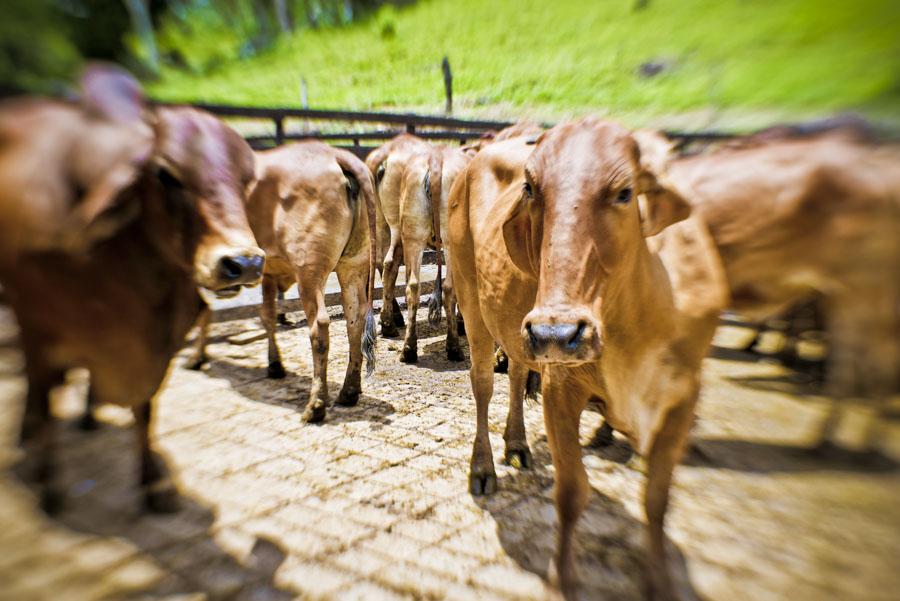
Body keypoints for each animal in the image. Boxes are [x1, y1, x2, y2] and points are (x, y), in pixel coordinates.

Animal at [1, 68, 264, 512]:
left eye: (247, 178)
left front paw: (152, 483)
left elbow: (146, 407)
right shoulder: (34, 323)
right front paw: (49, 483)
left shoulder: (157, 344)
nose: (242, 263)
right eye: (165, 174)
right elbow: (45, 397)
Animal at [241, 141, 378, 422]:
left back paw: (316, 405)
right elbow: (268, 314)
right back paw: (348, 392)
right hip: (353, 265)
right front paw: (274, 365)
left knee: (320, 325)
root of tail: (337, 154)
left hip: (310, 270)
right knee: (355, 319)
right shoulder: (269, 272)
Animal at [446, 118, 728, 600]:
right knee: (482, 383)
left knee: (517, 371)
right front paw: (563, 579)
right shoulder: (561, 387)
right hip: (473, 302)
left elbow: (657, 500)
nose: (556, 333)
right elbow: (571, 491)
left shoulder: (682, 397)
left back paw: (517, 444)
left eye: (625, 192)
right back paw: (482, 468)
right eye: (530, 188)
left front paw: (658, 580)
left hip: (517, 326)